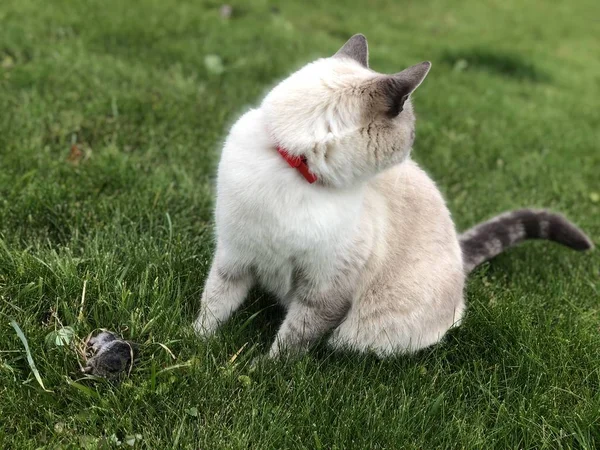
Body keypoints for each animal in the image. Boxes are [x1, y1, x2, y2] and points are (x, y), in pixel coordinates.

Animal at [192, 34, 592, 358]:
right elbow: (213, 307)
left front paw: (262, 371)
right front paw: (195, 347)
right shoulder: (234, 256)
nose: (414, 147)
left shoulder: (325, 290)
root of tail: (460, 254)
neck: (291, 170)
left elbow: (292, 342)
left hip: (371, 333)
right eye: (410, 131)